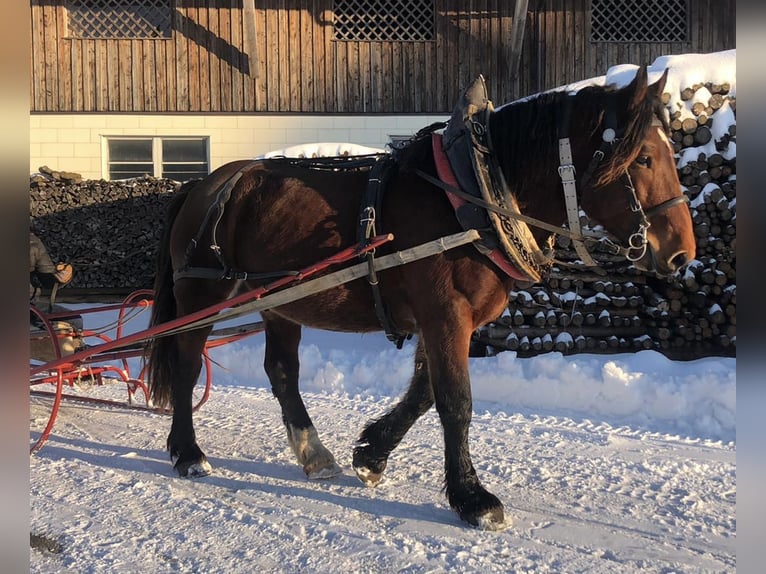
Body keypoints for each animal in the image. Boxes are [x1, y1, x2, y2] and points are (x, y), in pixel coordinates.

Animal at [144, 65, 696, 530]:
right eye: (644, 157)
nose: (681, 254)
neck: (476, 197)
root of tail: (202, 185)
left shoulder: (448, 321)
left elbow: (425, 392)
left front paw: (371, 454)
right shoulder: (444, 313)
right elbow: (455, 401)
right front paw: (473, 498)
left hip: (281, 301)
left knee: (282, 372)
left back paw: (313, 452)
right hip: (201, 297)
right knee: (187, 364)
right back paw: (188, 453)